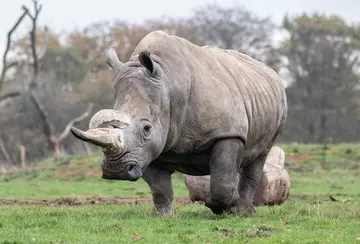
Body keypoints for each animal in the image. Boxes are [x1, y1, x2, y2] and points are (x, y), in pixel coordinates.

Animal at [70, 30, 288, 215]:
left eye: (146, 129)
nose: (116, 171)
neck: (169, 83)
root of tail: (270, 72)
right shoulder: (149, 148)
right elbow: (159, 187)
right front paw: (162, 216)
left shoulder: (228, 132)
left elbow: (222, 181)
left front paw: (221, 206)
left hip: (278, 104)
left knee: (258, 156)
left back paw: (243, 212)